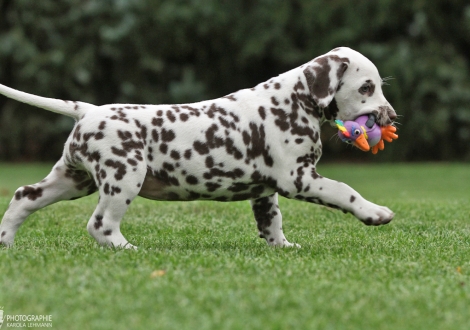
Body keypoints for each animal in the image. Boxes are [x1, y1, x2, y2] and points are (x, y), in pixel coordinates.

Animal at [0, 45, 396, 248]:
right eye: (366, 87)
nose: (391, 117)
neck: (293, 101)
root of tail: (89, 110)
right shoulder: (299, 178)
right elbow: (344, 190)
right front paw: (375, 213)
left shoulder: (265, 191)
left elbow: (272, 222)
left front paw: (282, 248)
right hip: (123, 177)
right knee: (100, 225)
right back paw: (128, 250)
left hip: (72, 179)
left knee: (24, 196)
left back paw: (5, 241)